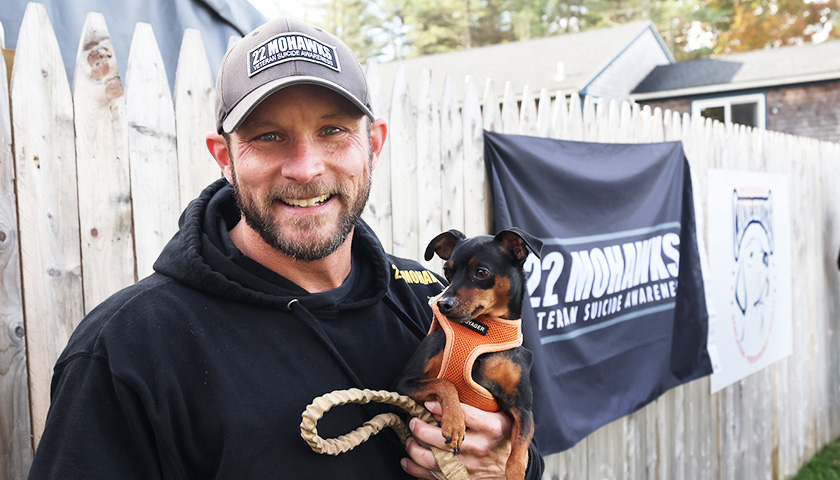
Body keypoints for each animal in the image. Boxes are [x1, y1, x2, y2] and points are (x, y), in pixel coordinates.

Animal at [396, 227, 540, 478]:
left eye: (481, 273)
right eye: (447, 271)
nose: (442, 304)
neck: (483, 335)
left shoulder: (523, 409)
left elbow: (518, 452)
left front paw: (515, 471)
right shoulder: (405, 385)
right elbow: (445, 383)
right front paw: (454, 423)